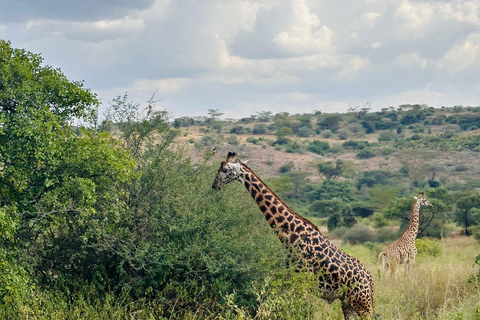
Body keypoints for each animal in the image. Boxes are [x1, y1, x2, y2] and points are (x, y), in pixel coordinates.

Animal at [213, 153, 376, 320]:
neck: (291, 235)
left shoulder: (301, 280)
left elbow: (298, 309)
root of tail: (370, 279)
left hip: (362, 303)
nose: (214, 184)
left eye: (225, 170)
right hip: (348, 302)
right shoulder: (292, 278)